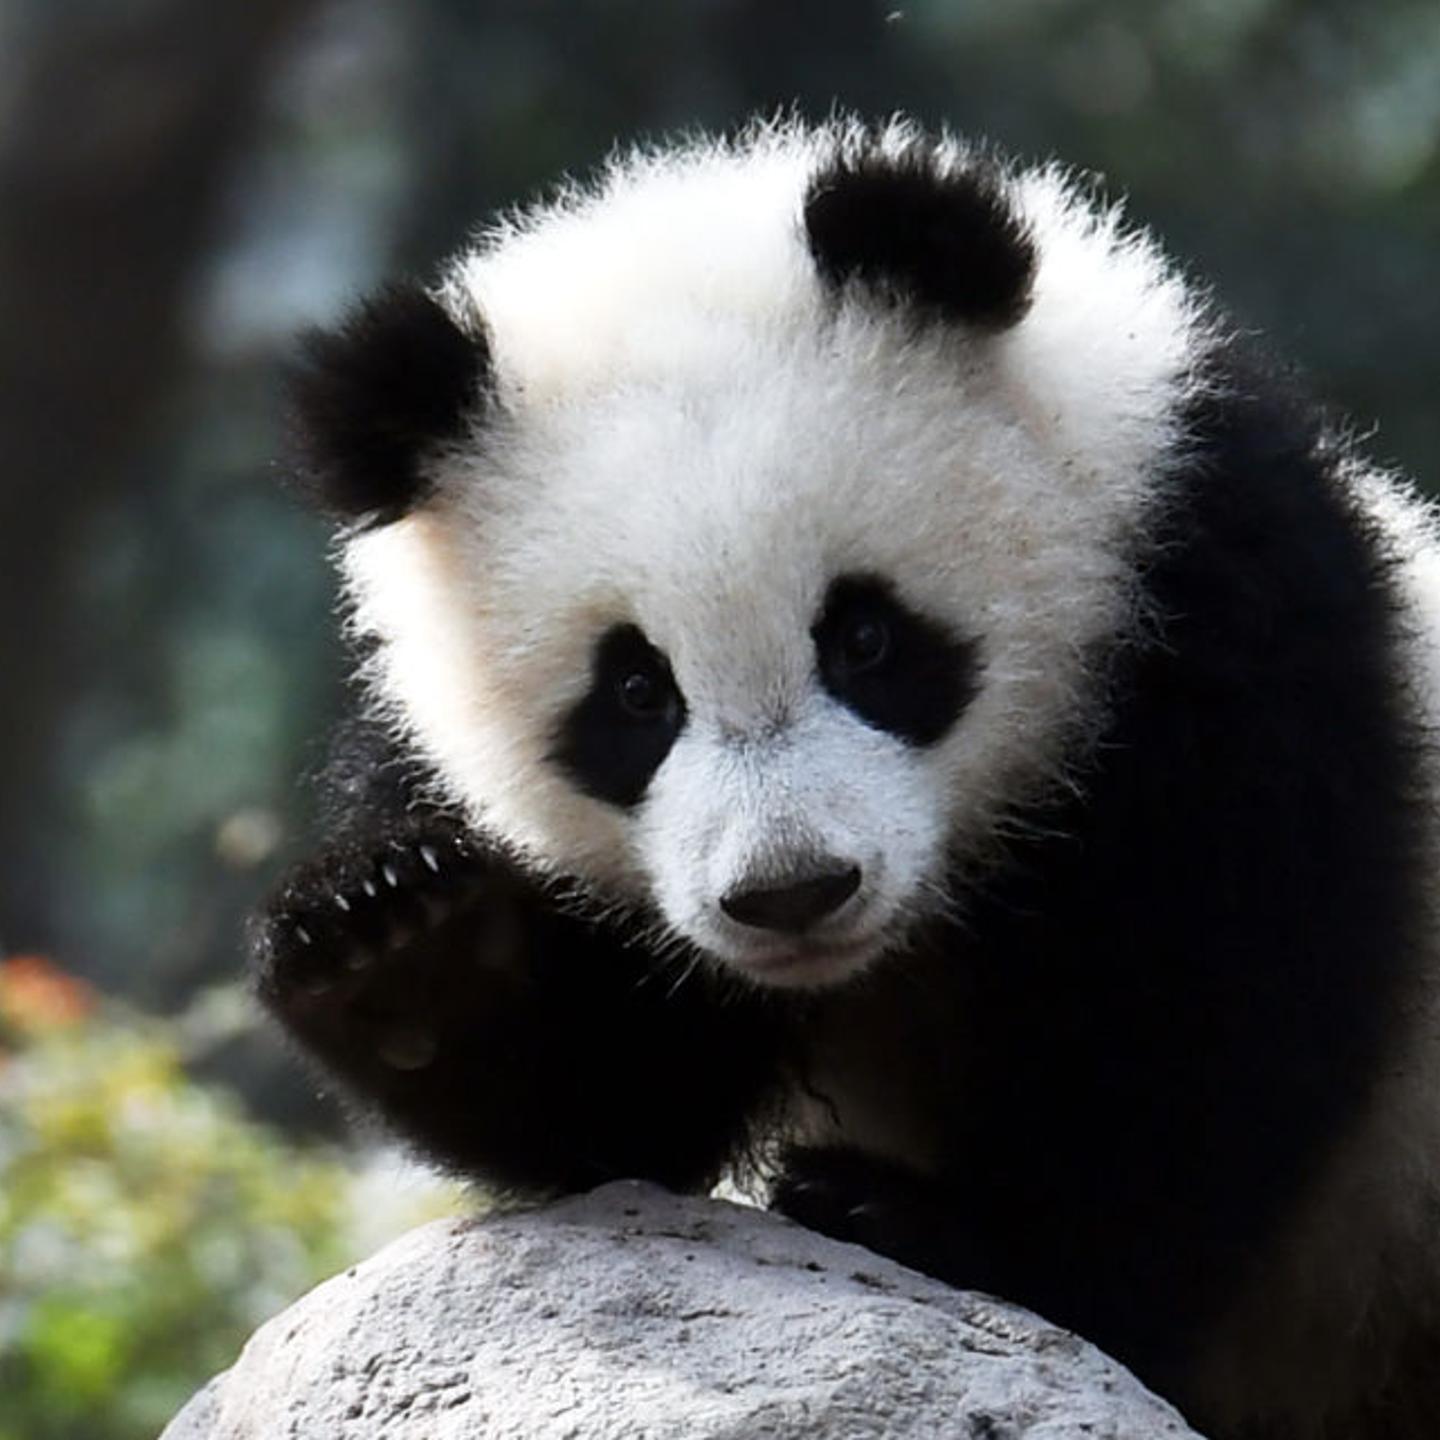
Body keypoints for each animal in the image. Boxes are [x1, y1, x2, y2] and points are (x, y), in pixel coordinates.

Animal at [251, 118, 1440, 1438]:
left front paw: (939, 1231)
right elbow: (619, 1115)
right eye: (635, 695)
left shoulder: (1217, 611)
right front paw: (402, 941)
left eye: (864, 638)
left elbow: (1209, 1005)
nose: (791, 893)